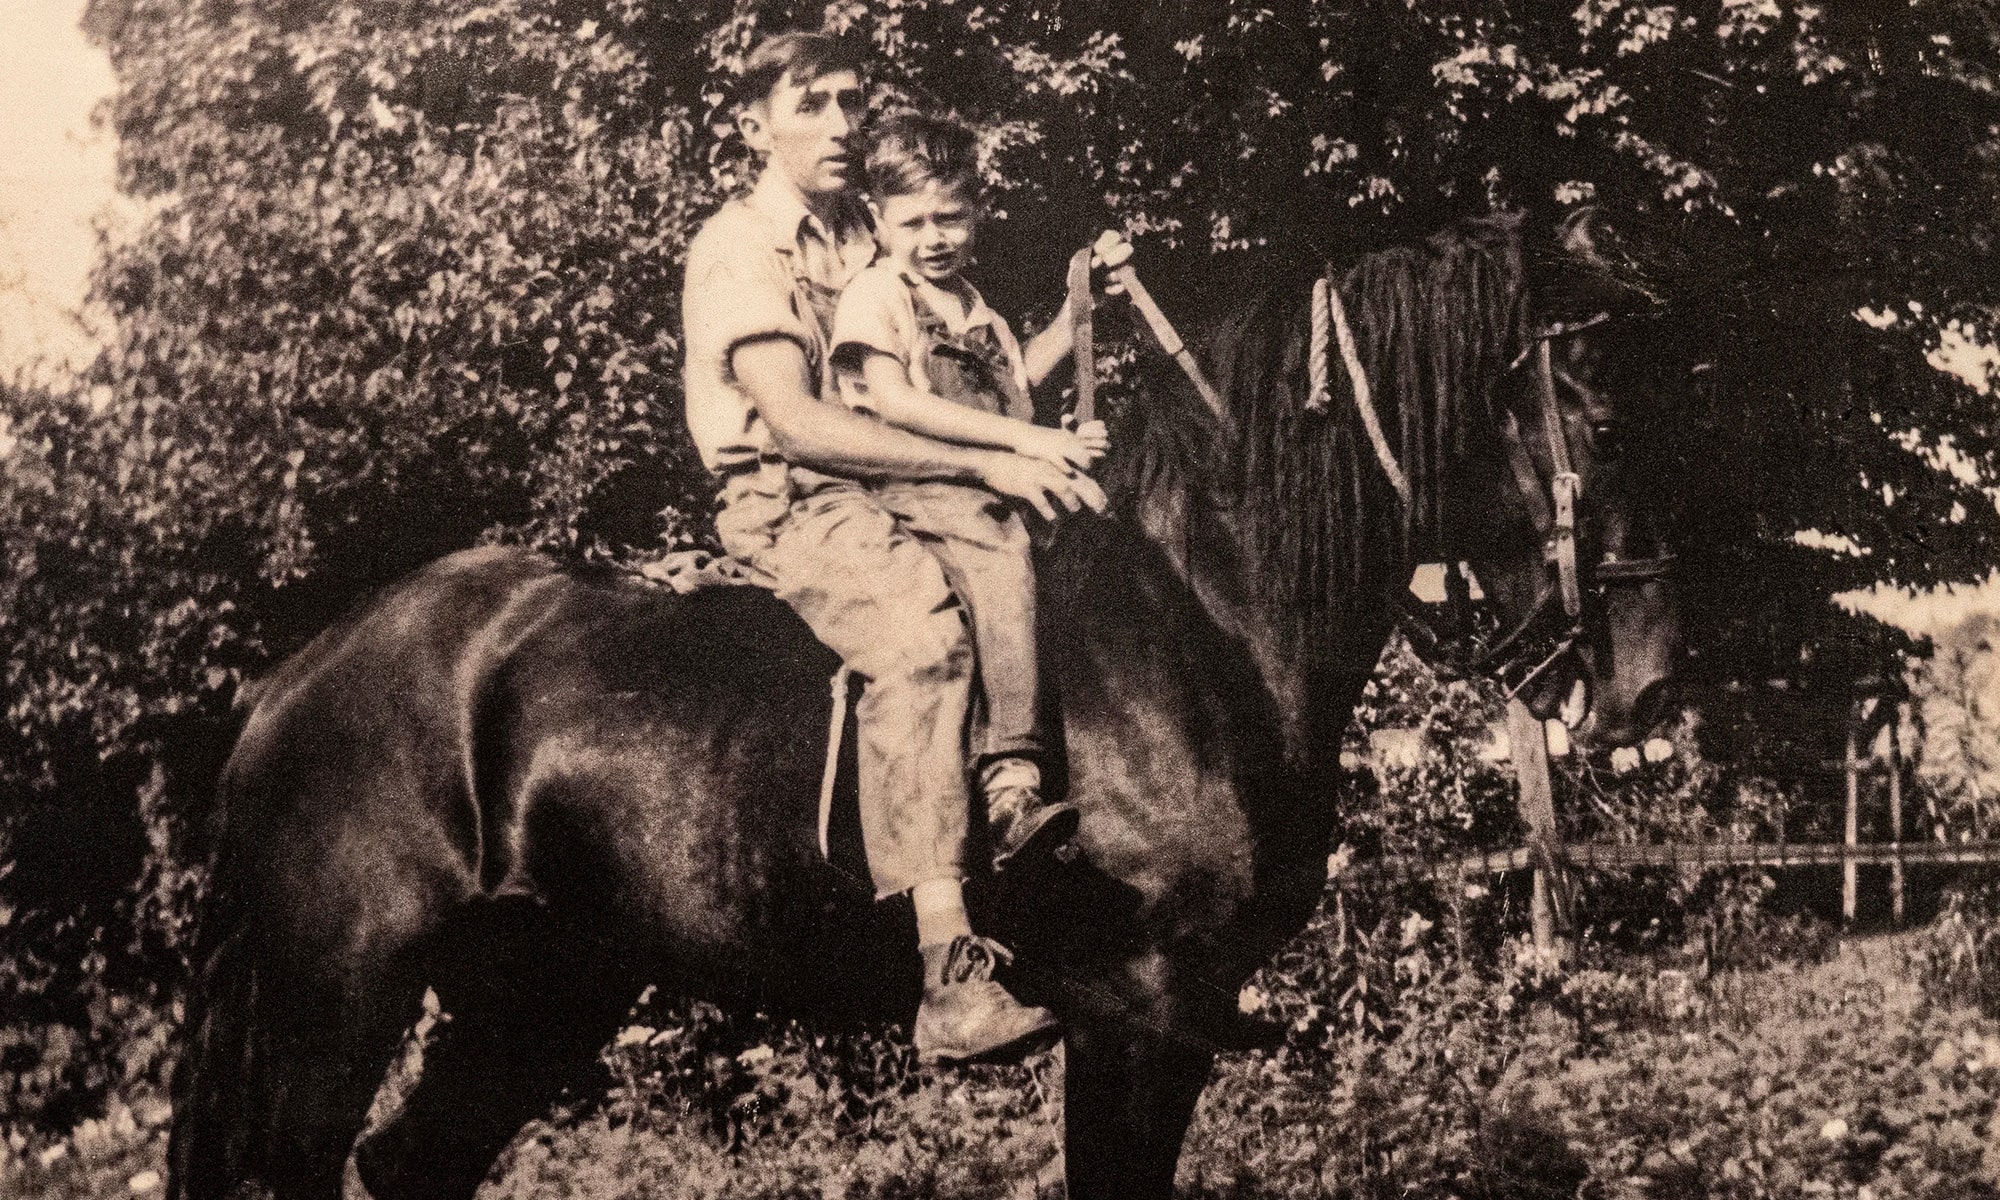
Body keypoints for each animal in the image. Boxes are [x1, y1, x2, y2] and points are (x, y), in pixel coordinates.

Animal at [168, 213, 1672, 1200]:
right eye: (1596, 414)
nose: (1648, 678)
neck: (1197, 618)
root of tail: (293, 680)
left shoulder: (1181, 1019)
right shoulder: (1137, 1011)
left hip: (539, 985)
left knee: (412, 1163)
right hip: (337, 989)